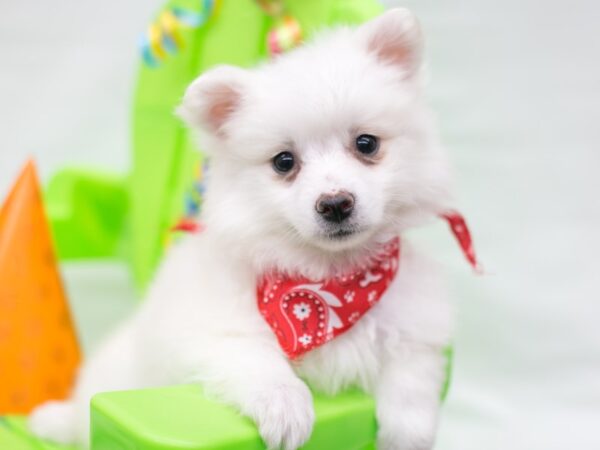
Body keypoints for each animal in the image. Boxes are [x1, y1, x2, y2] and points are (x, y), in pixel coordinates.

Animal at [29, 7, 454, 450]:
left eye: (367, 143)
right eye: (284, 162)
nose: (335, 203)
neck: (331, 279)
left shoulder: (416, 326)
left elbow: (412, 376)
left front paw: (408, 430)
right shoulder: (215, 332)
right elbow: (256, 360)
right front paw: (287, 408)